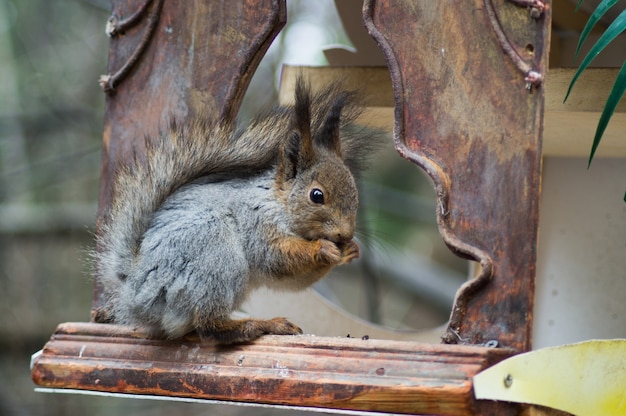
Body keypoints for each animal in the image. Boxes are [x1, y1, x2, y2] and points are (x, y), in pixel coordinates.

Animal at [92, 78, 376, 344]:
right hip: (215, 254)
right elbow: (277, 259)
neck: (278, 203)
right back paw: (259, 325)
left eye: (355, 193)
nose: (344, 235)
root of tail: (134, 290)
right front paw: (323, 248)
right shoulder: (257, 223)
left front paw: (350, 251)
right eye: (317, 196)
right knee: (210, 326)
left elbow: (295, 280)